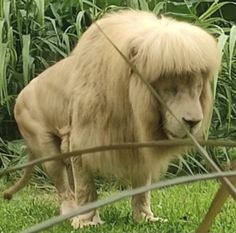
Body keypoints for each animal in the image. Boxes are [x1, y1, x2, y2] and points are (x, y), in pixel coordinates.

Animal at [3, 10, 220, 228]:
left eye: (197, 88)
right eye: (171, 89)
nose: (193, 121)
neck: (132, 107)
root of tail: (19, 97)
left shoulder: (139, 143)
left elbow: (142, 186)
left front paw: (145, 218)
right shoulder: (82, 139)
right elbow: (85, 186)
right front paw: (87, 222)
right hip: (45, 145)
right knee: (64, 186)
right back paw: (71, 213)